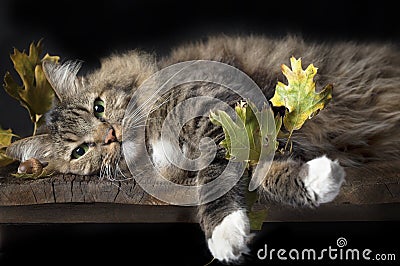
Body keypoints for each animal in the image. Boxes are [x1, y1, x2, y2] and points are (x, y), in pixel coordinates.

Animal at [6, 35, 400, 264]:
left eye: (98, 108)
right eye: (80, 151)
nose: (110, 136)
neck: (151, 142)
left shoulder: (224, 111)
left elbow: (234, 169)